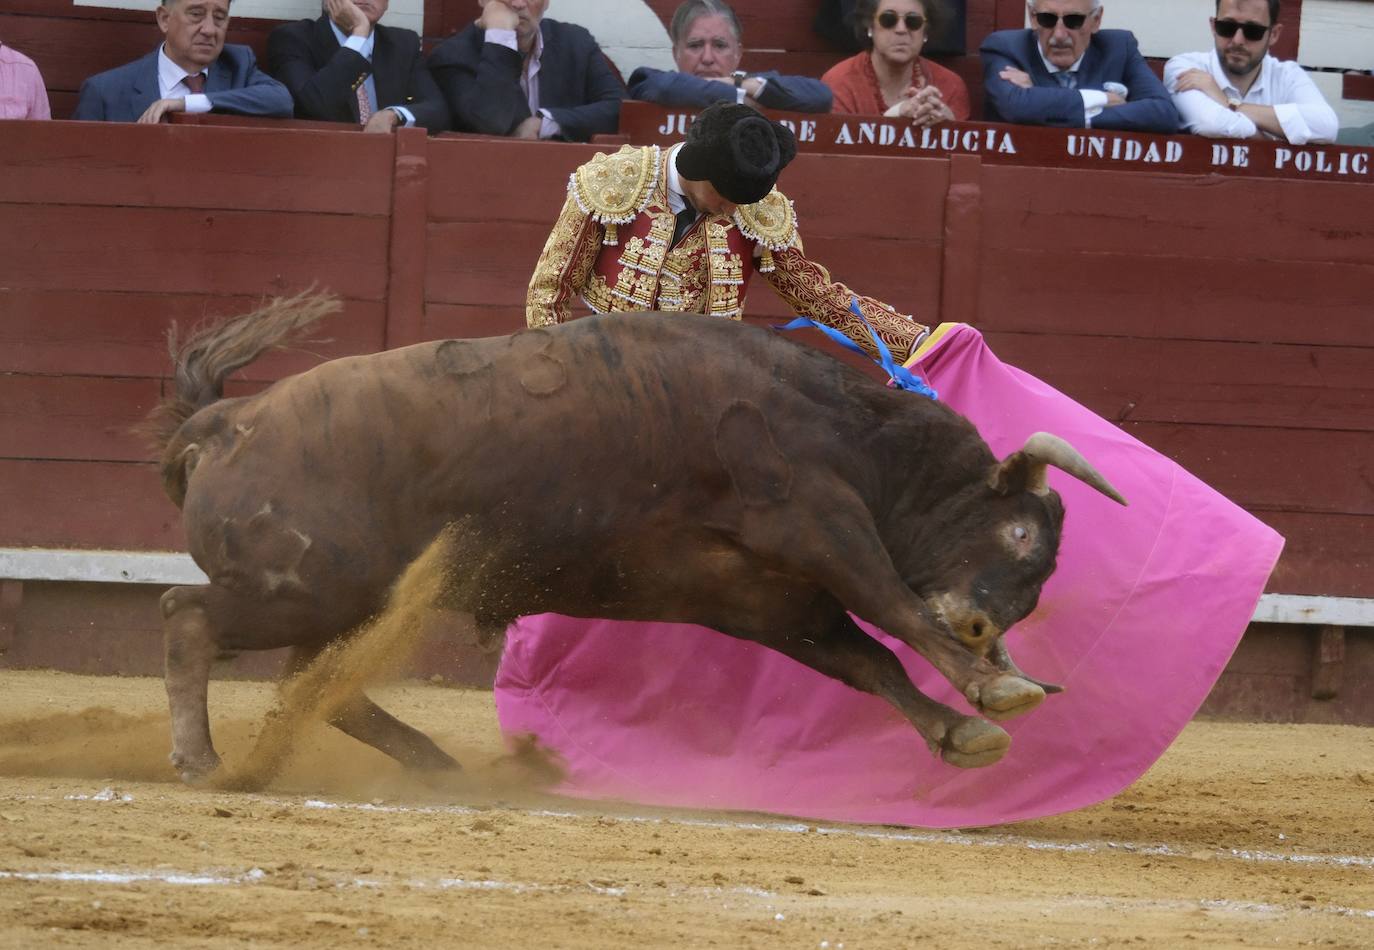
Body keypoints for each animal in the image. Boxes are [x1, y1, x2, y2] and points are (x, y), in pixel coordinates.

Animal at [144, 296, 1121, 786]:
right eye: (1019, 530)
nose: (983, 630)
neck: (855, 436)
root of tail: (224, 423)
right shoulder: (818, 523)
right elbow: (894, 611)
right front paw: (996, 693)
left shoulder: (763, 598)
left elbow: (865, 660)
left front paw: (964, 735)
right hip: (299, 586)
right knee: (188, 615)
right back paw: (199, 760)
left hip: (340, 599)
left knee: (320, 683)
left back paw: (442, 766)